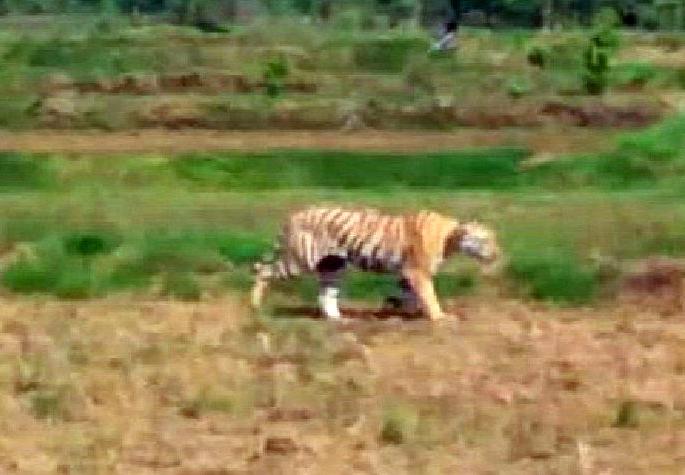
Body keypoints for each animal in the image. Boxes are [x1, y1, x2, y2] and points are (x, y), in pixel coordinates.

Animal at [250, 206, 500, 321]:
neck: (451, 238)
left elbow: (407, 294)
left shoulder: (407, 273)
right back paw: (254, 305)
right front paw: (439, 317)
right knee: (264, 270)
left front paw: (398, 308)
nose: (497, 253)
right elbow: (429, 296)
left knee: (326, 294)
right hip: (300, 260)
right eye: (485, 240)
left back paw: (339, 320)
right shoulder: (417, 272)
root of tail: (293, 215)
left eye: (494, 239)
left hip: (333, 266)